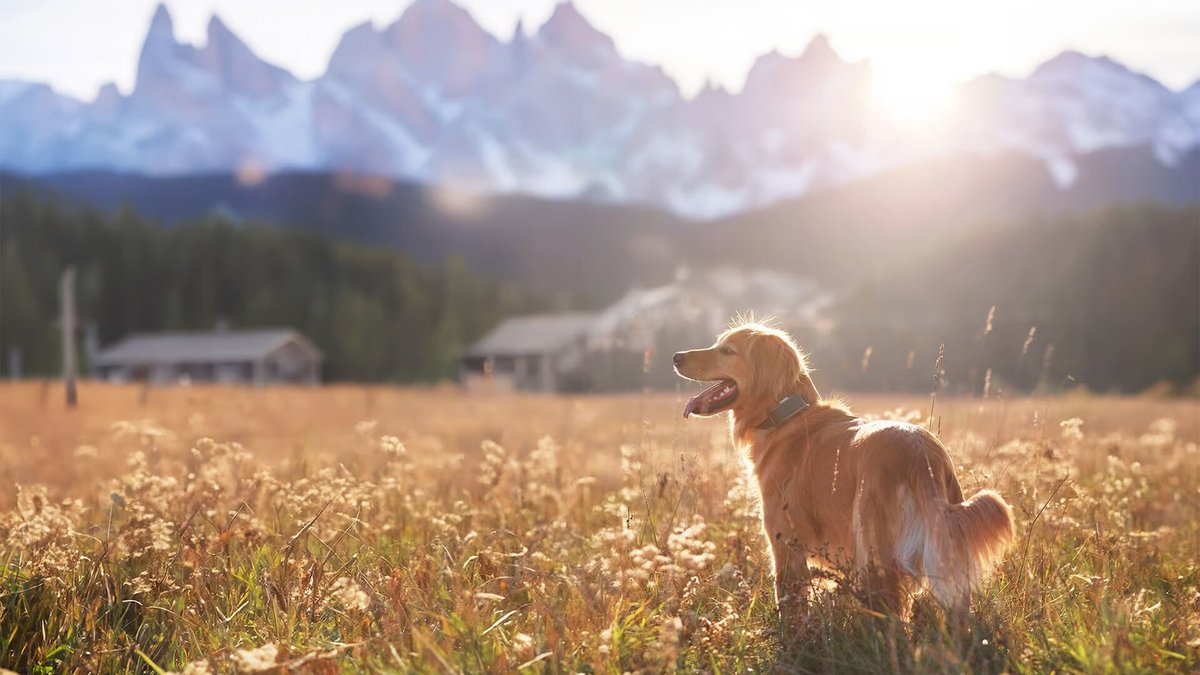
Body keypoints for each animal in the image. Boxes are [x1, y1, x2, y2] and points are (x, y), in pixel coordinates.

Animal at [676, 319, 1012, 619]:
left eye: (727, 351)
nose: (676, 356)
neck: (786, 414)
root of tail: (920, 453)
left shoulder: (785, 544)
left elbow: (790, 609)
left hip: (874, 553)